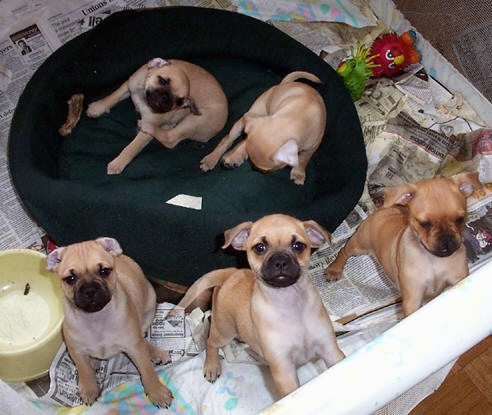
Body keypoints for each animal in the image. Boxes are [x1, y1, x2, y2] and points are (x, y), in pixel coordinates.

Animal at [46, 237, 173, 410]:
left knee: (142, 337)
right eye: (70, 279)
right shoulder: (76, 351)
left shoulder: (135, 348)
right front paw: (89, 388)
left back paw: (155, 352)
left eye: (104, 271)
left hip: (148, 310)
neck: (96, 318)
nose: (90, 290)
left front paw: (157, 392)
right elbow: (84, 371)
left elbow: (147, 371)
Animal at [86, 57, 227, 175]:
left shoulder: (146, 131)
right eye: (162, 81)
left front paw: (118, 163)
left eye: (179, 101)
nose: (166, 99)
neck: (143, 98)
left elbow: (132, 147)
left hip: (195, 120)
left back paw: (145, 125)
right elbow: (113, 96)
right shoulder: (128, 86)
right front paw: (97, 107)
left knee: (170, 138)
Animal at [171, 216, 344, 398]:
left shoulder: (331, 351)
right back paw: (212, 366)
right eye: (260, 248)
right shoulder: (283, 369)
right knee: (211, 342)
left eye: (298, 246)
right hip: (224, 330)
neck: (290, 304)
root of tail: (230, 274)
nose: (280, 261)